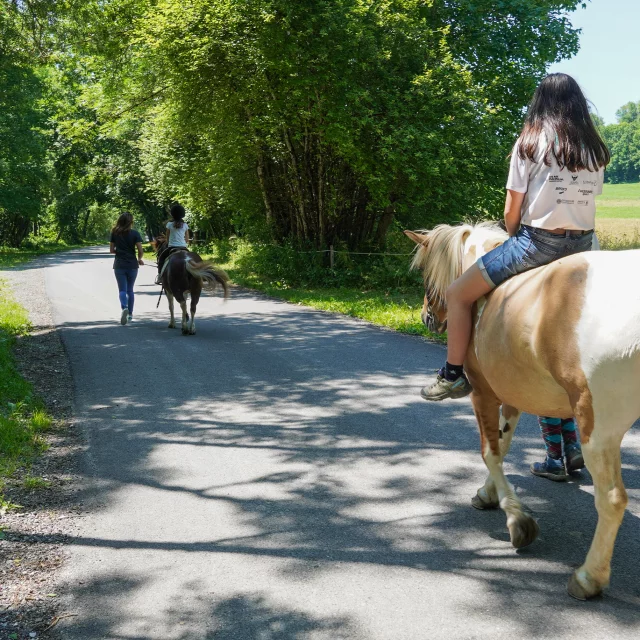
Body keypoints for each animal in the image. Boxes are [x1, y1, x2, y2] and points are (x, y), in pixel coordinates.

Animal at [404, 225, 640, 600]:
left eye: (426, 274)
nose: (427, 317)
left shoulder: (484, 392)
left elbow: (489, 451)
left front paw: (517, 521)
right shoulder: (512, 394)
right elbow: (502, 445)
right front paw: (487, 494)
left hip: (598, 429)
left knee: (612, 499)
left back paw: (588, 577)